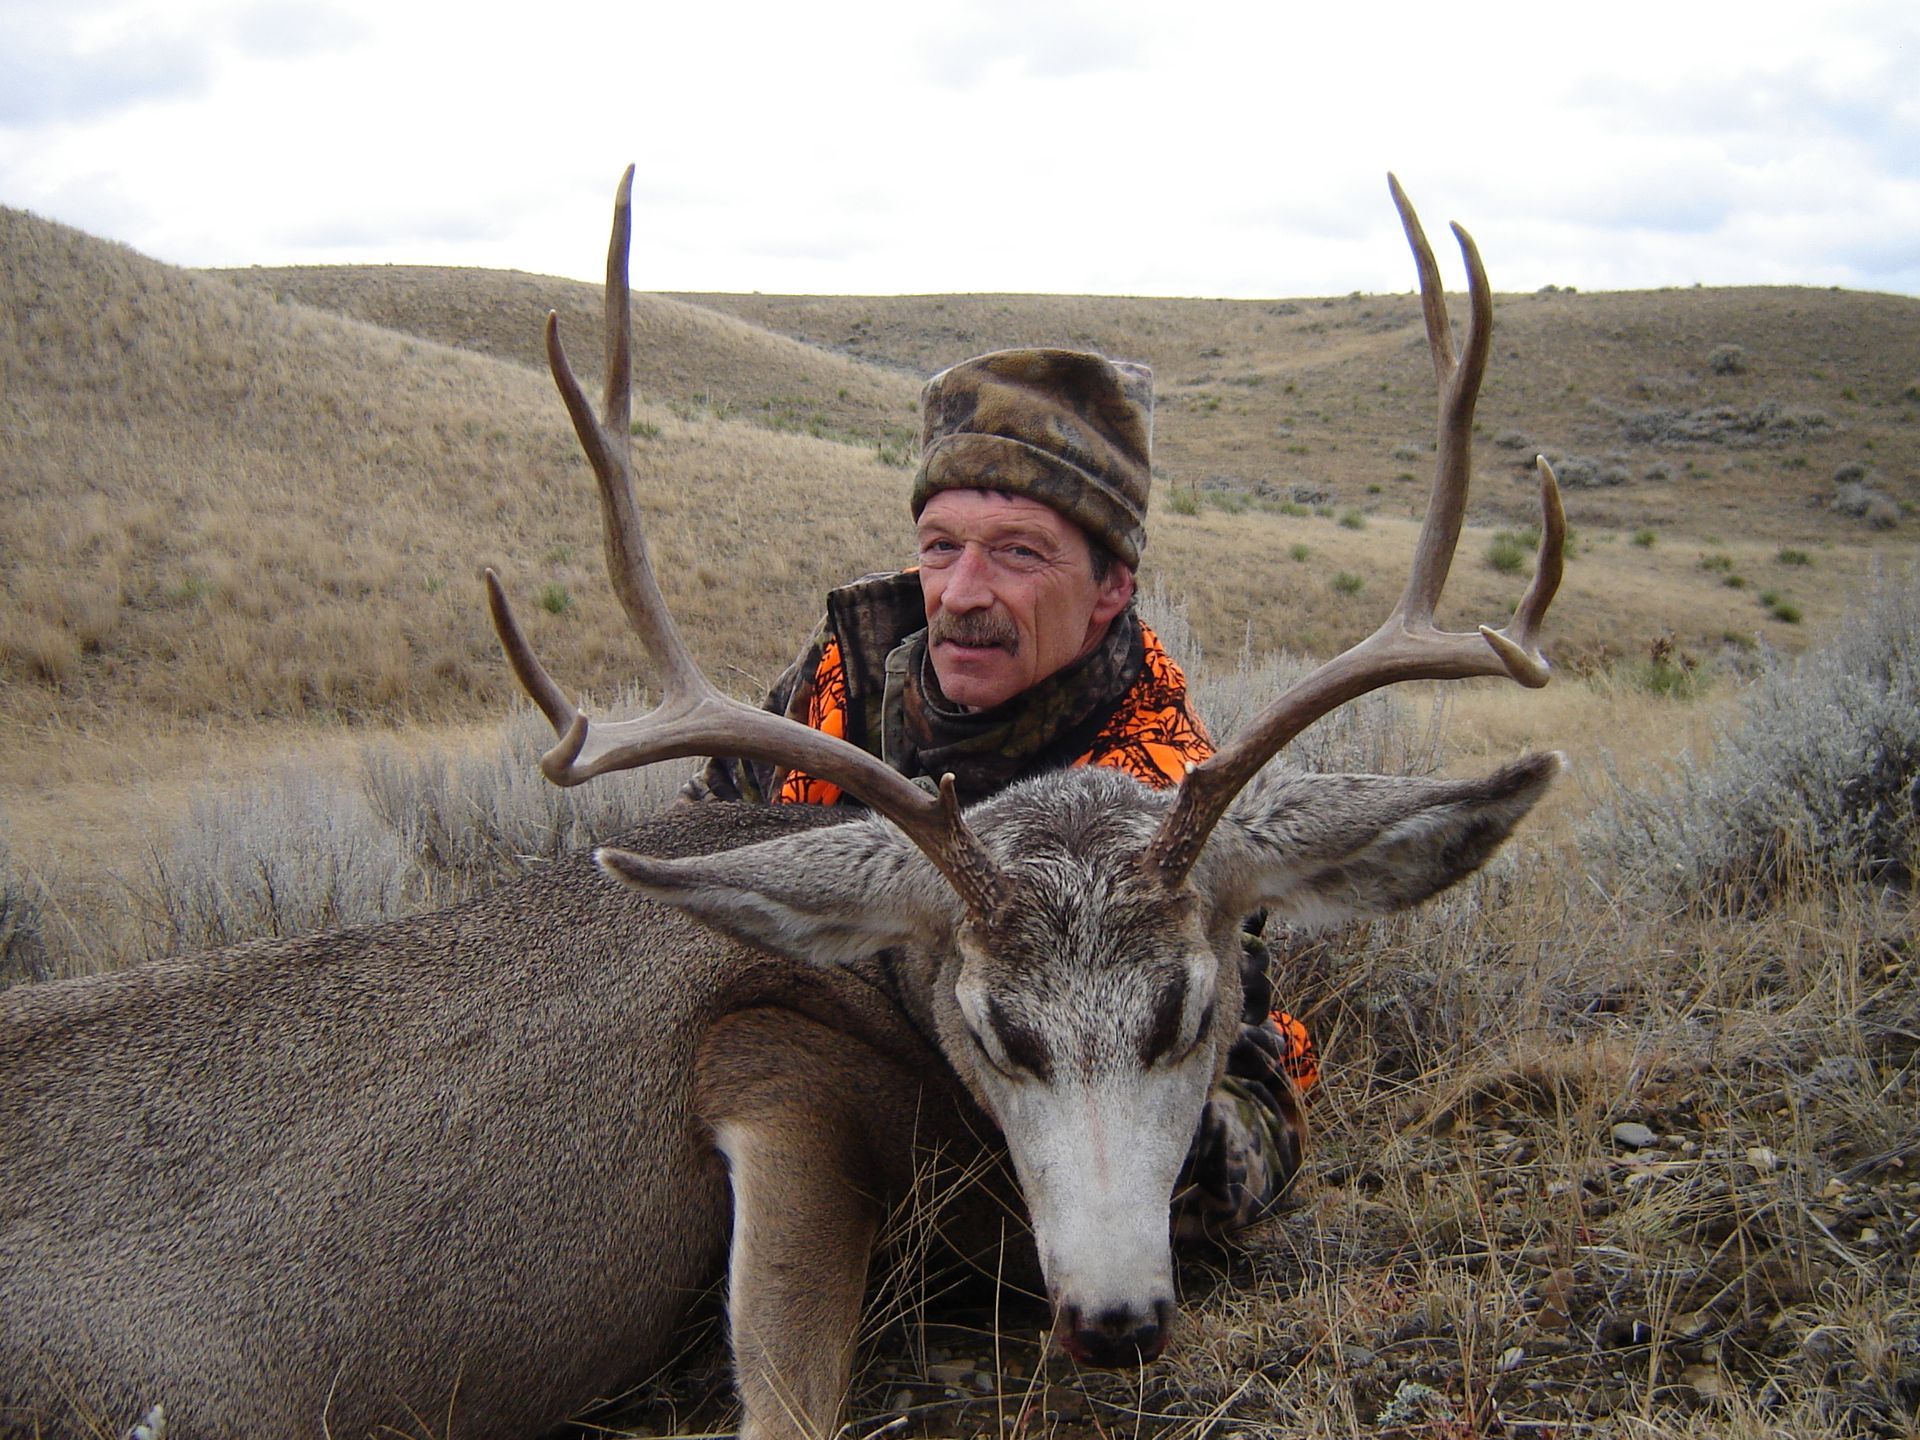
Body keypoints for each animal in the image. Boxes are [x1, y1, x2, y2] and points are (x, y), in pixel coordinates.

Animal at [0, 169, 1564, 1440]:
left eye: (1194, 1009)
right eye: (996, 1028)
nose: (1116, 1320)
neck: (873, 982)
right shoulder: (772, 1060)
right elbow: (786, 1402)